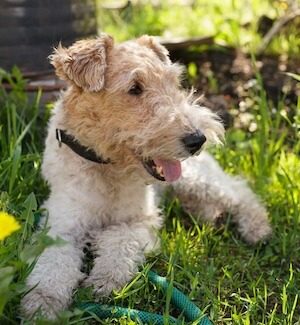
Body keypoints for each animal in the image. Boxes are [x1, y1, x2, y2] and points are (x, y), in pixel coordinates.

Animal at [21, 34, 272, 318]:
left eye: (174, 82)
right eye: (135, 88)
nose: (197, 139)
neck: (107, 165)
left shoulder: (139, 220)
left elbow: (119, 244)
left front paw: (104, 282)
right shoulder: (60, 226)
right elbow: (51, 267)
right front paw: (41, 304)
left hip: (197, 179)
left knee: (240, 192)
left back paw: (258, 230)